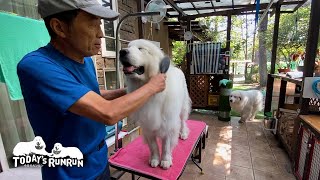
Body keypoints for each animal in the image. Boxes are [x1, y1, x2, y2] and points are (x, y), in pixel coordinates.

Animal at [119, 39, 191, 169]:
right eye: (128, 46)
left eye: (141, 49)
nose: (122, 52)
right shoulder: (148, 125)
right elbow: (153, 146)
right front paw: (155, 159)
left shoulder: (168, 123)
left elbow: (166, 145)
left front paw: (165, 160)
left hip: (183, 107)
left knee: (183, 120)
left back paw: (183, 133)